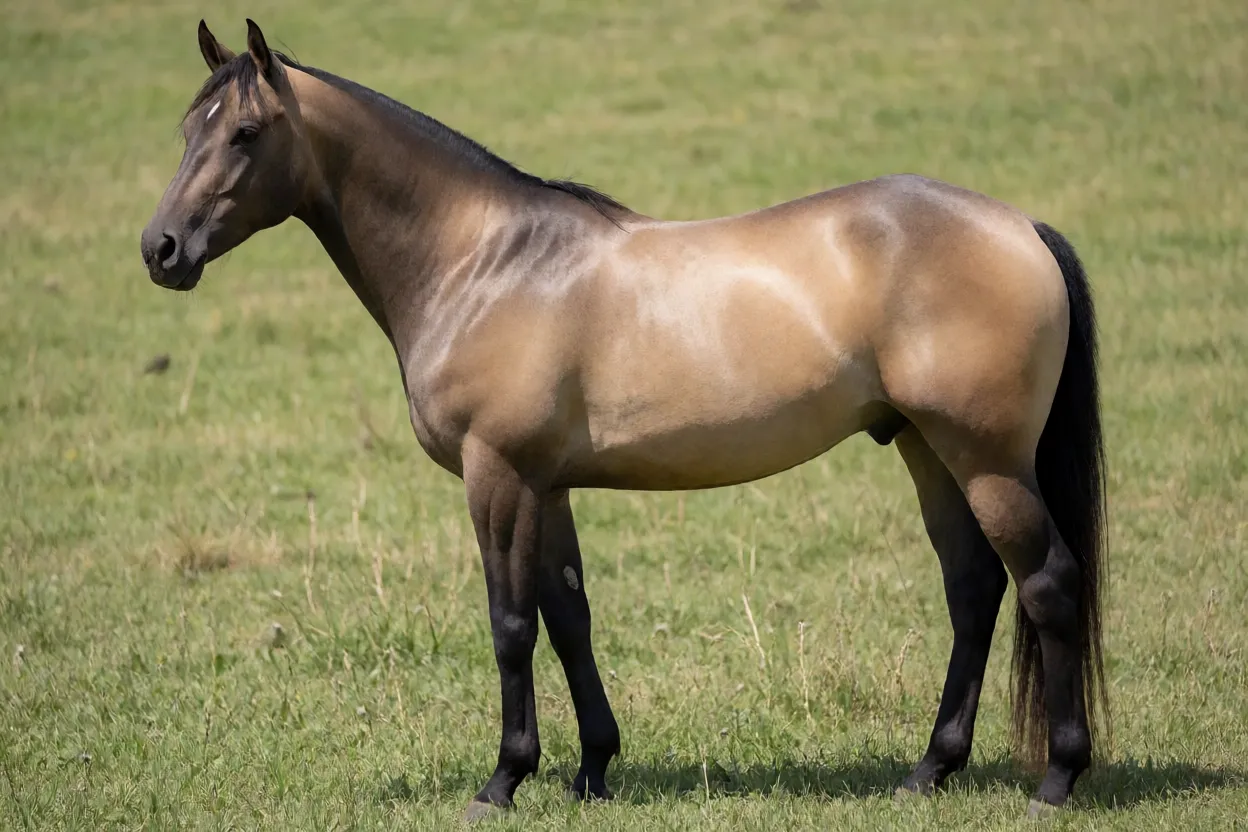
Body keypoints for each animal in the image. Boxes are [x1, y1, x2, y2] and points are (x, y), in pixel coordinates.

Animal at [141, 20, 1109, 821]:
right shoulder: (547, 485)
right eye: (187, 130)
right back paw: (929, 770)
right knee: (973, 590)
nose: (161, 250)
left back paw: (1060, 778)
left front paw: (503, 780)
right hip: (926, 449)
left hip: (986, 459)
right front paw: (592, 770)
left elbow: (511, 624)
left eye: (245, 132)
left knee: (1048, 583)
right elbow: (569, 618)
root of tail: (1022, 226)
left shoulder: (499, 476)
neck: (487, 263)